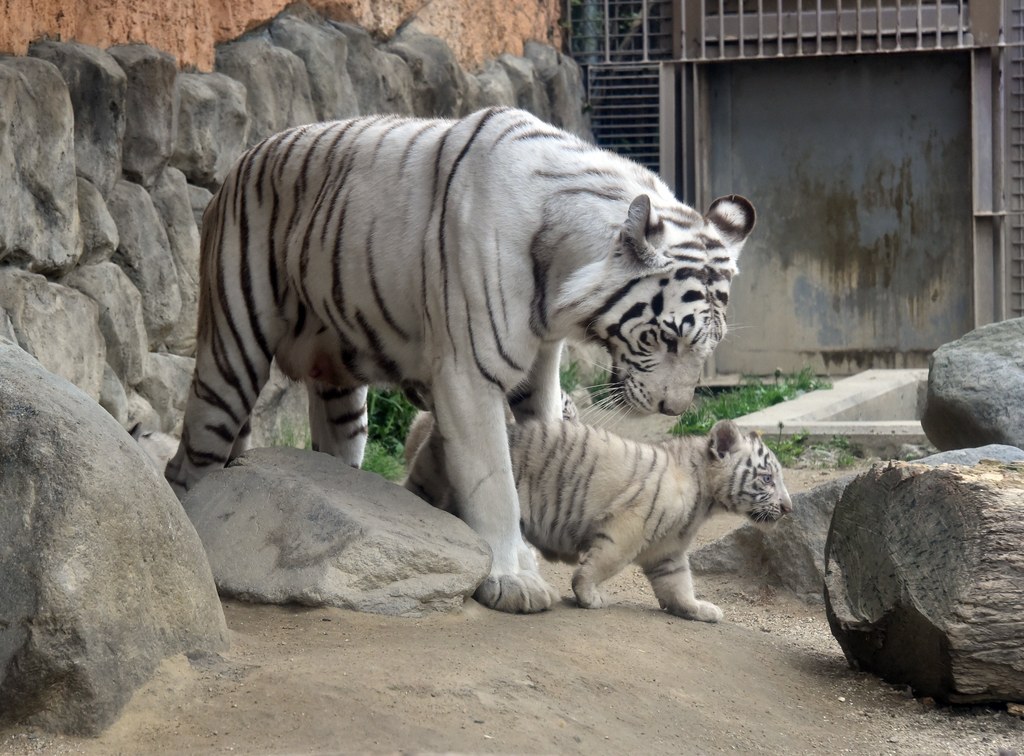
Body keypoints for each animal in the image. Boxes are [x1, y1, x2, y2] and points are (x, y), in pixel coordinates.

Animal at [165, 106, 753, 614]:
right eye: (666, 337)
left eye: (708, 344)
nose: (675, 410)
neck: (560, 271)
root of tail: (241, 161)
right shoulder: (469, 373)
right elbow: (495, 483)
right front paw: (512, 579)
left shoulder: (541, 370)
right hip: (232, 348)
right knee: (192, 458)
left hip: (340, 385)